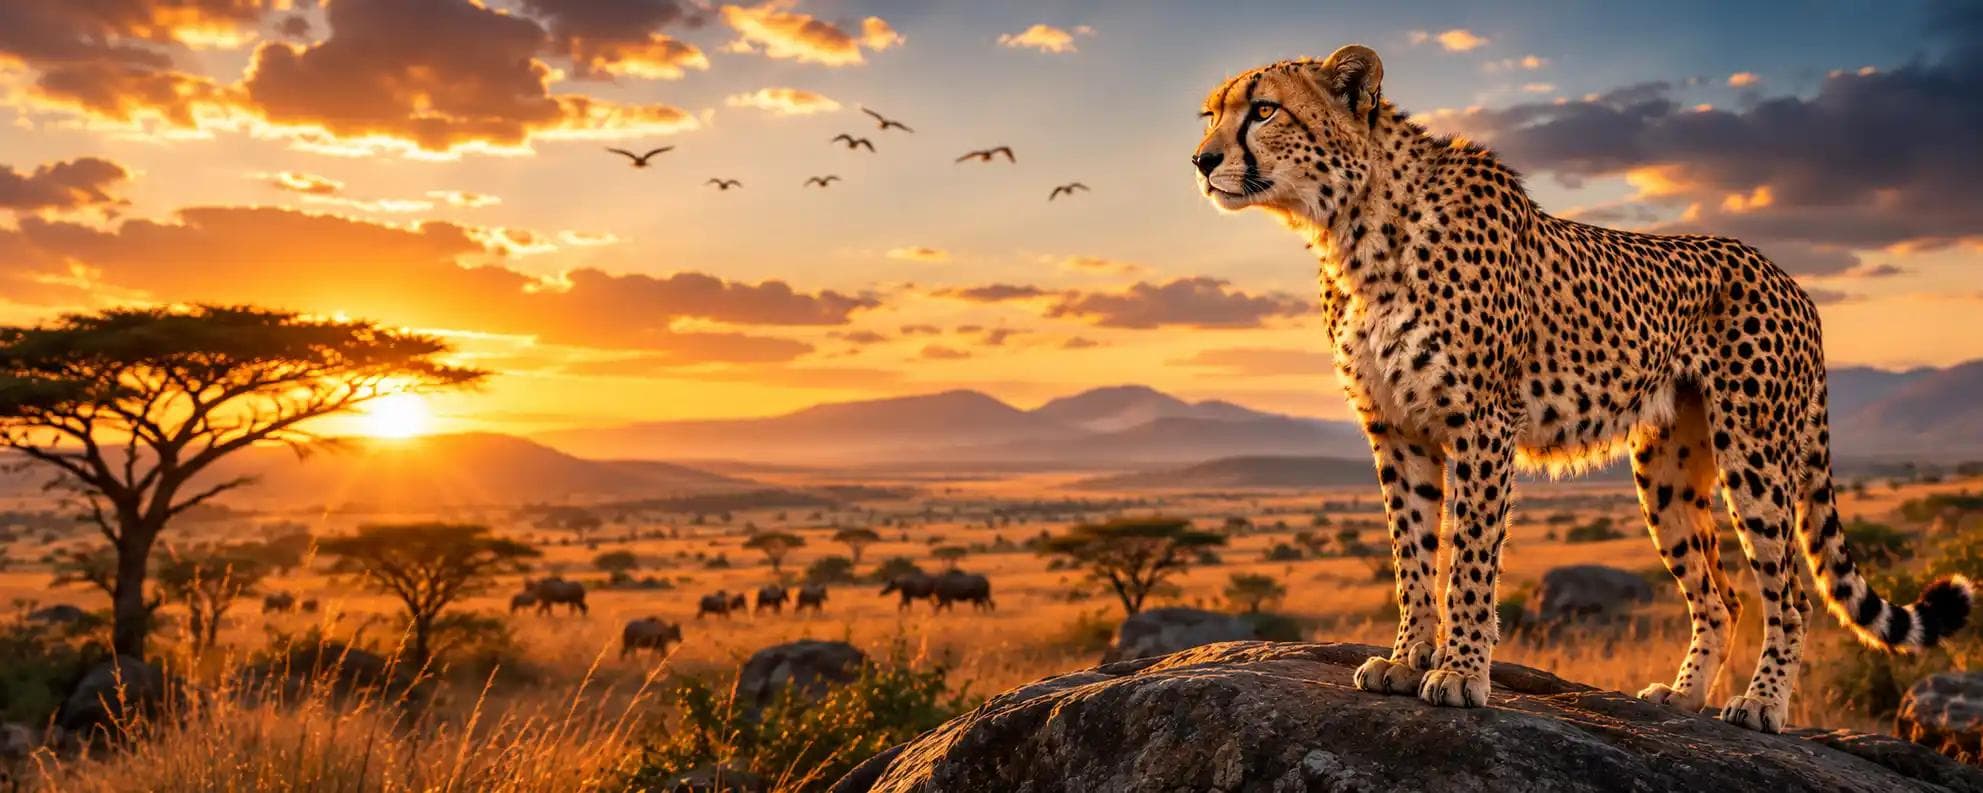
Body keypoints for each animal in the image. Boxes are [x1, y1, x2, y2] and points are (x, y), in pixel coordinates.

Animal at [1191, 44, 1971, 733]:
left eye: (1263, 110)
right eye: (1211, 113)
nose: (1200, 161)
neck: (1354, 225)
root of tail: (1790, 280)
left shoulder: (1481, 421)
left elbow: (1468, 557)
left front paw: (1460, 672)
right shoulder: (1396, 427)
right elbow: (1411, 552)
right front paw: (1406, 659)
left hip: (1753, 450)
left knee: (1790, 595)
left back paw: (1761, 706)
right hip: (1665, 469)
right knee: (1721, 595)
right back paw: (1683, 696)